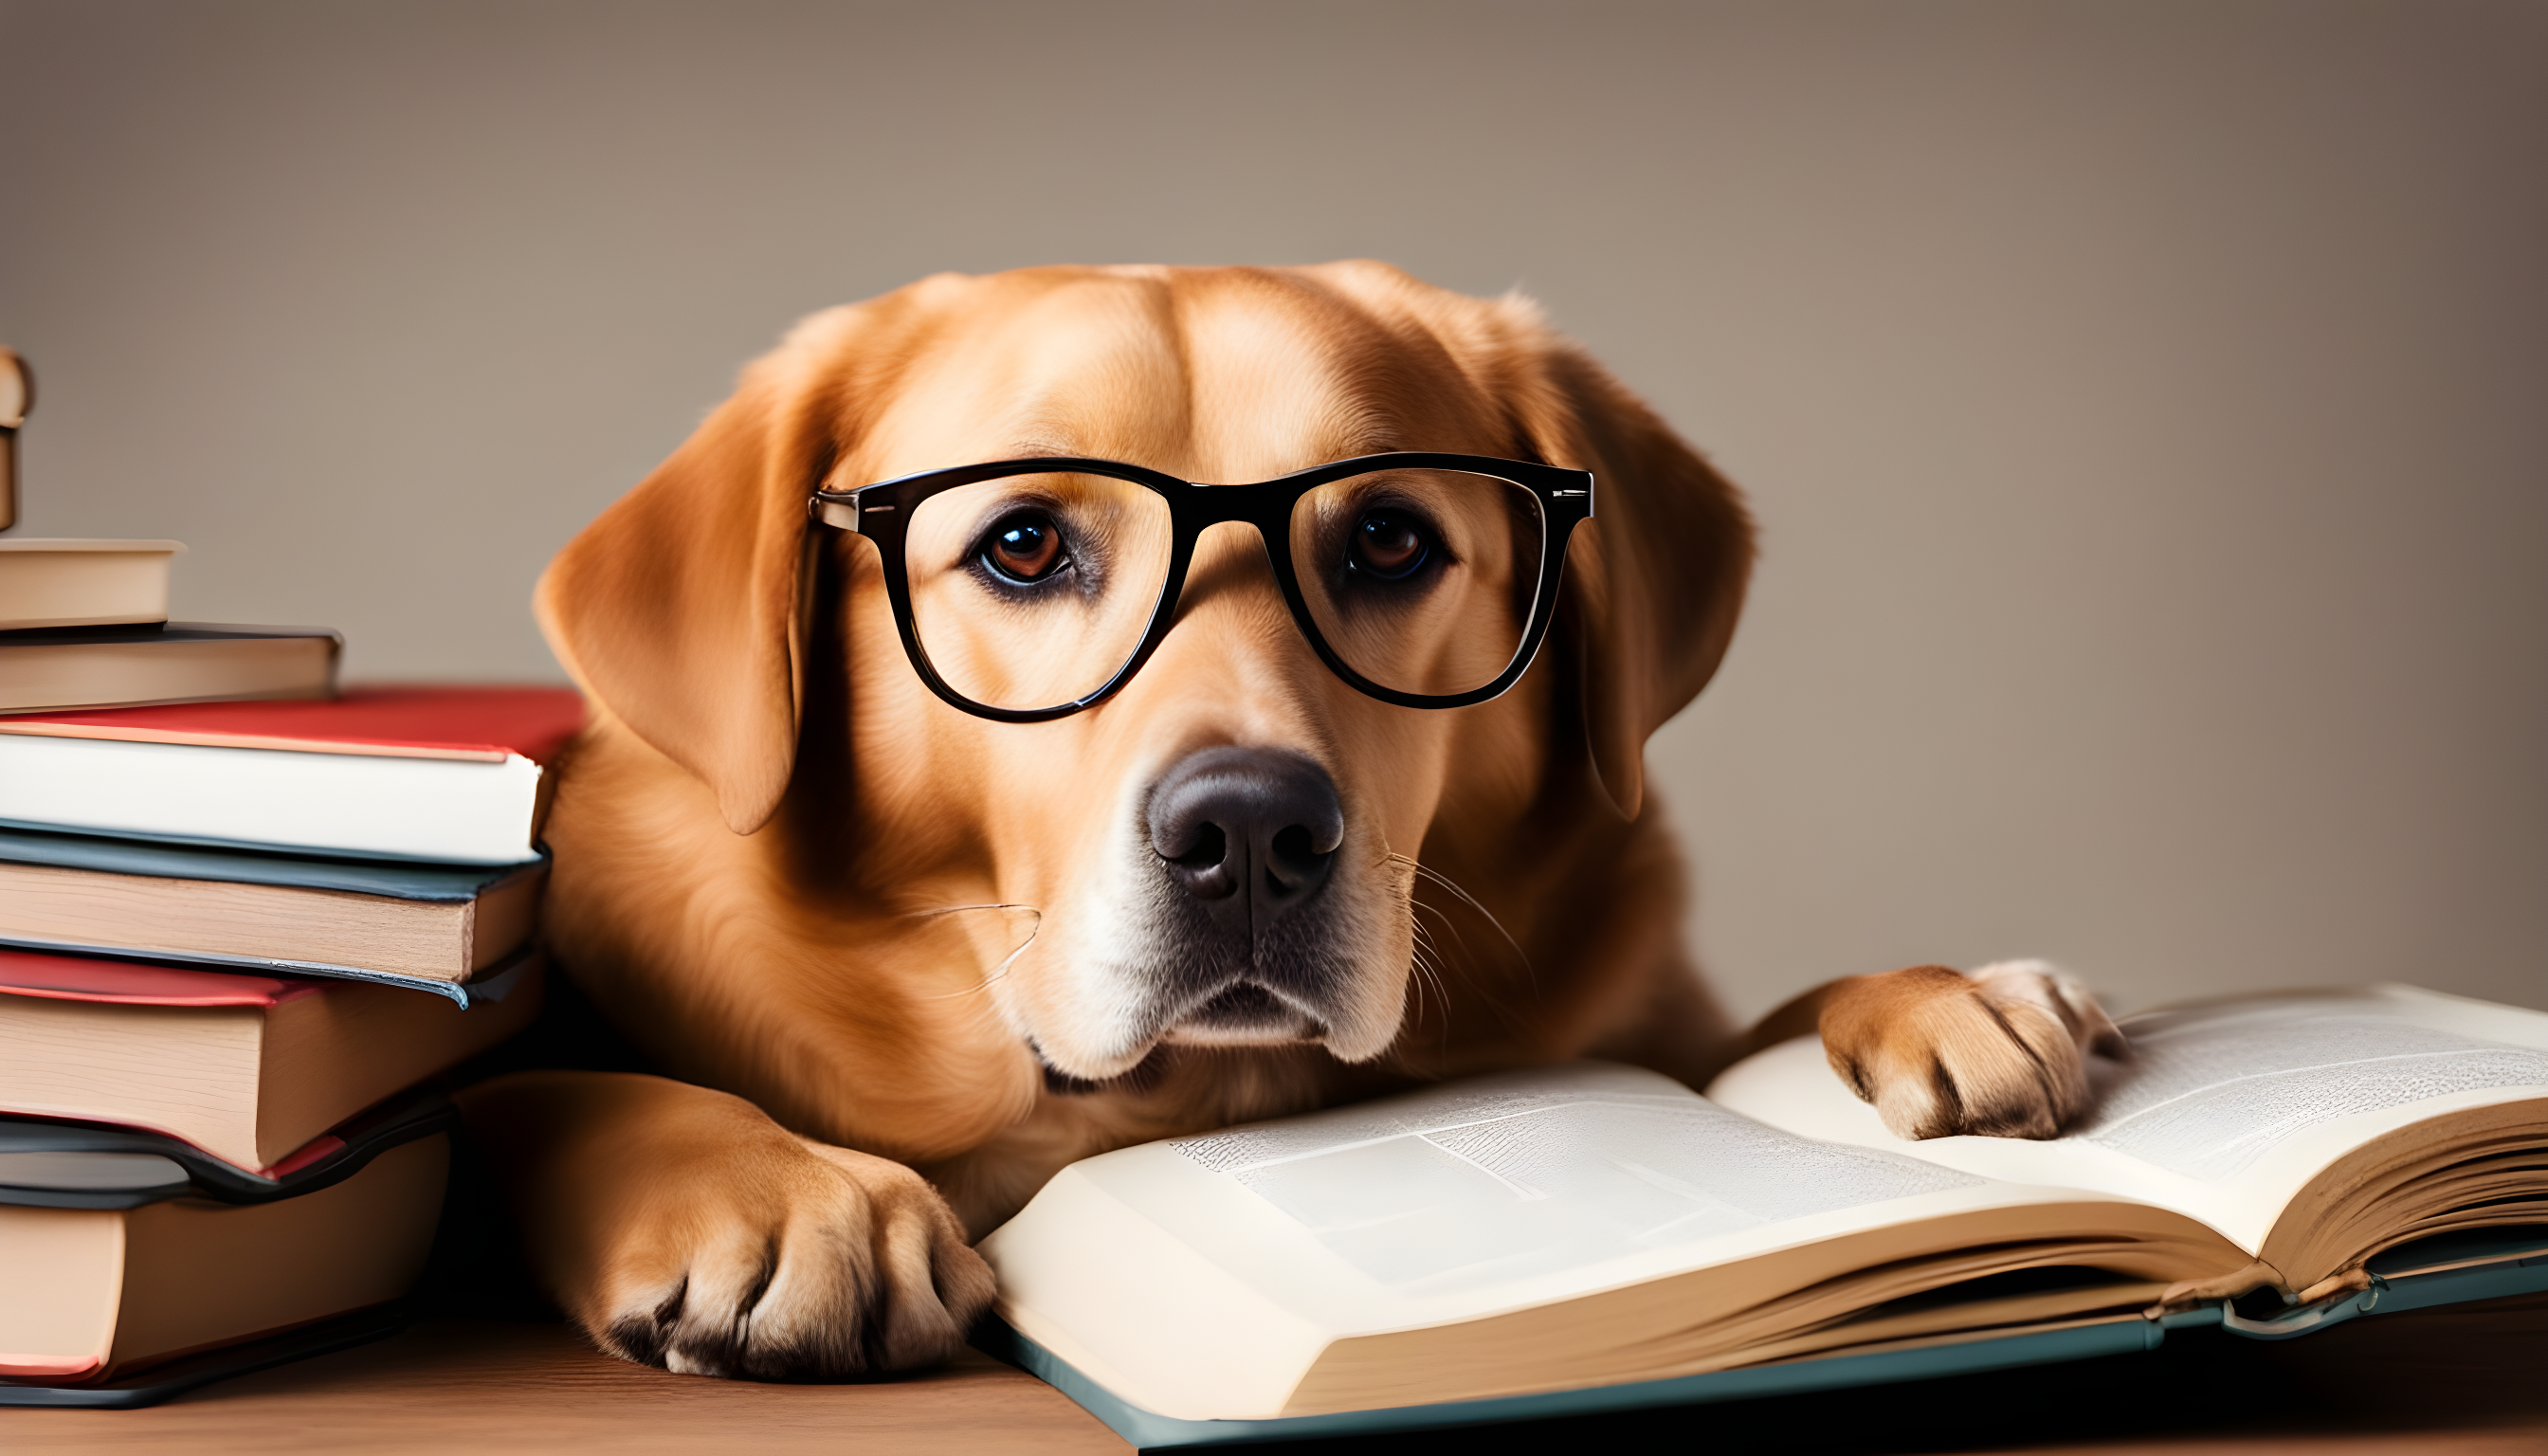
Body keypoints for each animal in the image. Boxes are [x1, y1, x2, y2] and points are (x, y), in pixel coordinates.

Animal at [464, 259, 2130, 1376]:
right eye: (1021, 544)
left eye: (1390, 537)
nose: (1250, 836)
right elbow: (541, 1087)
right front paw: (778, 1187)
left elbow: (1739, 1035)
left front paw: (1934, 995)